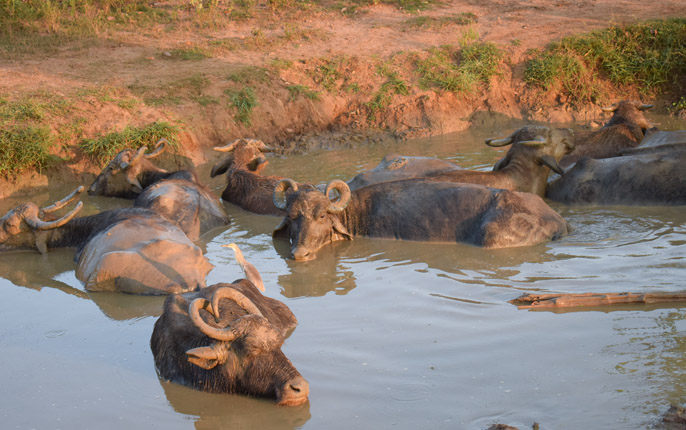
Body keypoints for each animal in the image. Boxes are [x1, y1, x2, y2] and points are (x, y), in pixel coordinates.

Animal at [272, 178, 569, 261]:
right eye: (291, 216)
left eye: (321, 215)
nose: (299, 254)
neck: (357, 212)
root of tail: (556, 220)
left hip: (492, 235)